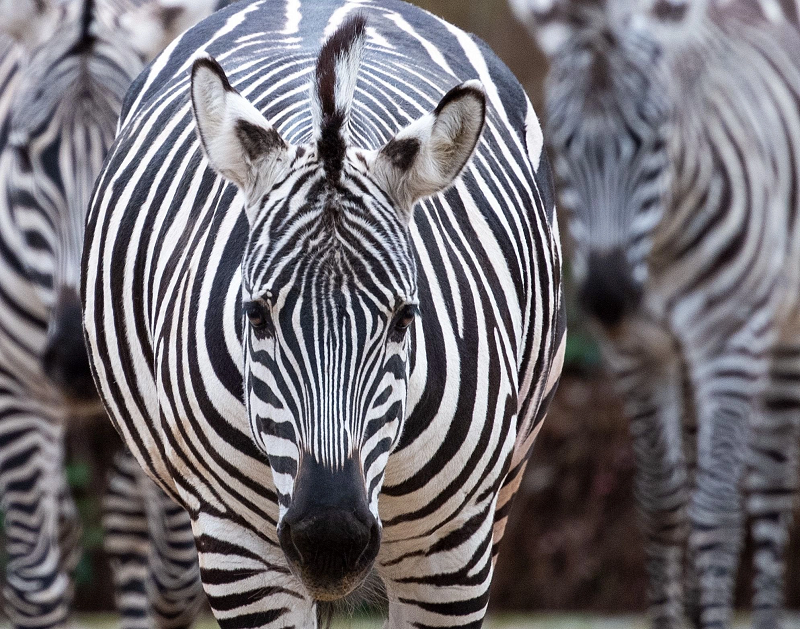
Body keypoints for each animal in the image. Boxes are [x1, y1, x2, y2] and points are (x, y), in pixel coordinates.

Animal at [0, 1, 228, 628]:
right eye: (24, 156)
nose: (77, 363)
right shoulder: (16, 387)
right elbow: (36, 584)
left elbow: (173, 577)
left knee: (127, 531)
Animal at [512, 1, 800, 628]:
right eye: (563, 145)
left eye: (651, 141)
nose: (608, 297)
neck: (660, 251)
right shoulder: (636, 353)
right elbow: (664, 507)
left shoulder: (728, 344)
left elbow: (714, 511)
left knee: (768, 488)